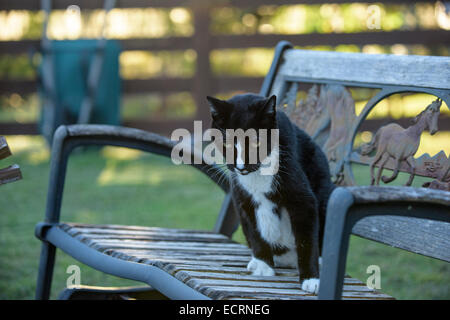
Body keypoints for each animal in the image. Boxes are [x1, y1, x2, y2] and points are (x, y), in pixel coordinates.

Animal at [207, 92, 334, 292]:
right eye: (226, 143)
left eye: (256, 142)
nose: (240, 166)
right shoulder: (242, 198)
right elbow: (255, 230)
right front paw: (263, 266)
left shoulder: (303, 200)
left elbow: (306, 239)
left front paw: (311, 279)